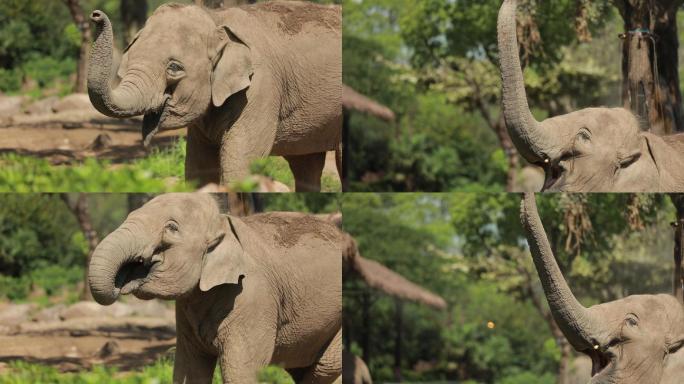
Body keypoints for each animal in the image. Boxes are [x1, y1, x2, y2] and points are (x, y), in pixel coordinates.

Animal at [87, 1, 340, 190]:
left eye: (174, 68)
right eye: (130, 56)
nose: (95, 14)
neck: (216, 19)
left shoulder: (260, 89)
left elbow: (241, 162)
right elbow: (198, 166)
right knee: (306, 164)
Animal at [87, 194, 342, 382]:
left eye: (171, 228)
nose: (121, 281)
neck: (222, 223)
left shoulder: (252, 297)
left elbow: (241, 371)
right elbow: (189, 368)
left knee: (324, 369)